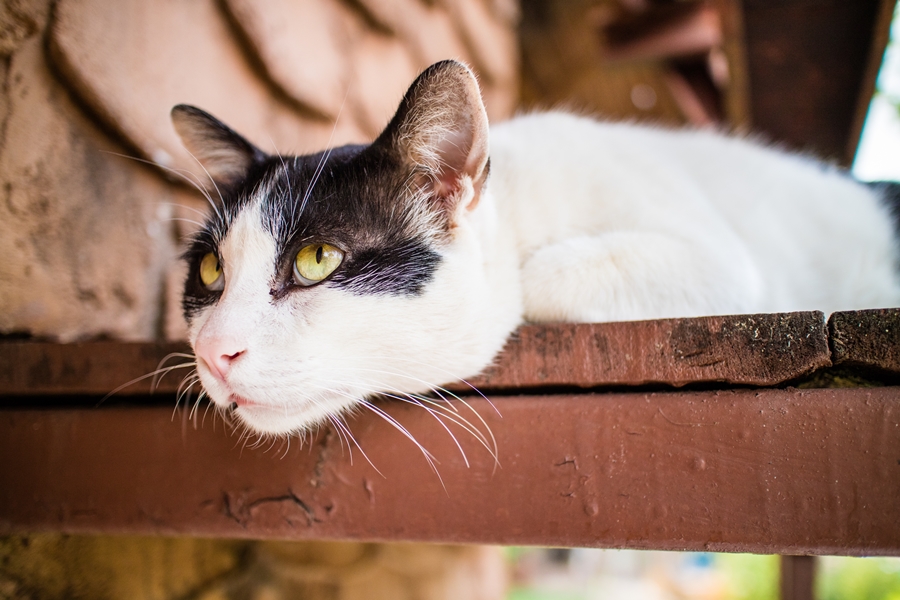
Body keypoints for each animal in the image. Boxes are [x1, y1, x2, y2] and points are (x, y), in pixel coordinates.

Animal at [171, 59, 900, 436]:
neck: (520, 203)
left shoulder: (724, 262)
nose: (212, 352)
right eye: (210, 270)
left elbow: (541, 276)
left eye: (316, 260)